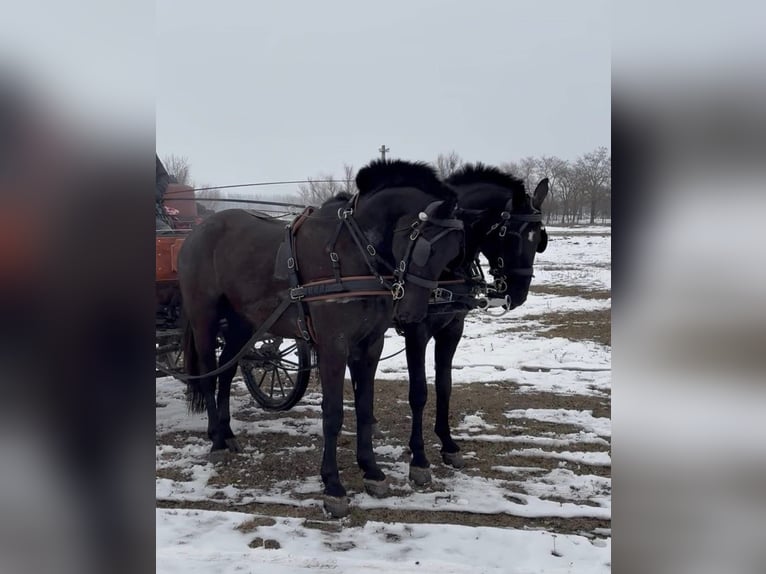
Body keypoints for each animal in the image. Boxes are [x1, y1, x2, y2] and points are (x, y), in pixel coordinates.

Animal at [177, 159, 465, 516]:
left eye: (454, 251)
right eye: (426, 246)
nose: (413, 312)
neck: (353, 251)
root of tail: (197, 232)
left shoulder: (370, 344)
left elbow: (365, 407)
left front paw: (372, 471)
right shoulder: (333, 345)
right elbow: (333, 413)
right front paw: (333, 486)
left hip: (243, 323)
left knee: (227, 372)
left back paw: (227, 433)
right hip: (204, 318)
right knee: (208, 374)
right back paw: (216, 440)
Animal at [398, 163, 549, 486]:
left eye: (539, 238)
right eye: (512, 235)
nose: (518, 294)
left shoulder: (452, 329)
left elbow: (445, 386)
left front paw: (448, 445)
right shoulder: (416, 332)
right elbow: (419, 392)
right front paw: (419, 459)